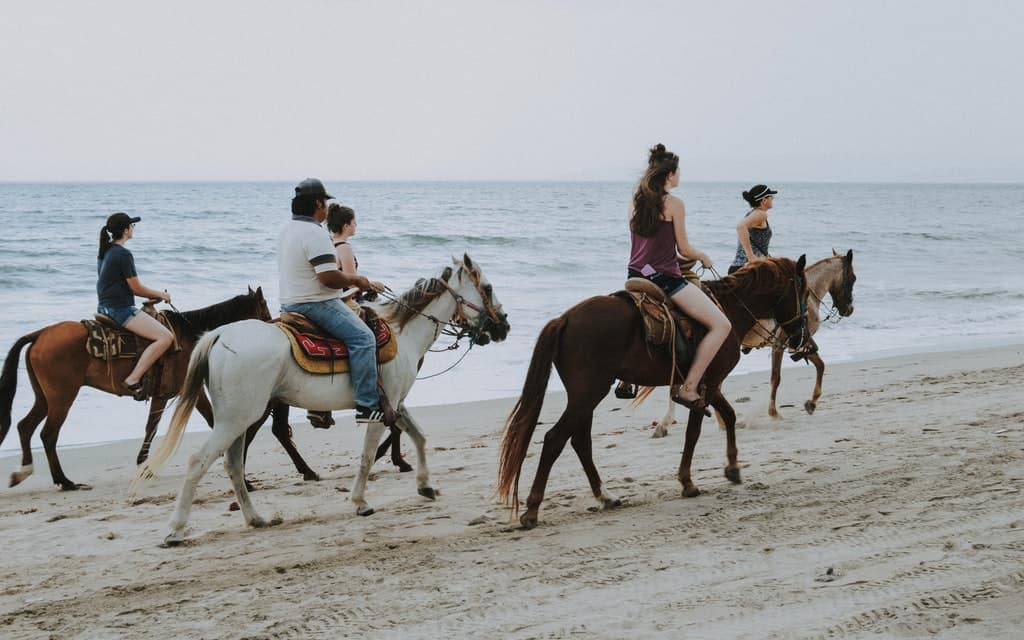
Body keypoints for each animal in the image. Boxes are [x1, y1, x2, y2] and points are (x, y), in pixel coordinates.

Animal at [0, 288, 327, 489]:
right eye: (264, 308)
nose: (276, 328)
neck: (192, 335)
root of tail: (41, 333)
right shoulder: (192, 392)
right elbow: (211, 421)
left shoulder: (161, 395)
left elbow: (150, 427)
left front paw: (143, 464)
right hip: (62, 397)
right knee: (47, 434)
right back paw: (64, 480)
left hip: (45, 397)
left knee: (26, 426)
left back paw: (24, 471)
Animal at [132, 254, 507, 544]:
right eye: (487, 288)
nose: (504, 326)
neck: (402, 333)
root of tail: (220, 334)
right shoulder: (379, 409)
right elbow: (367, 457)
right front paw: (360, 502)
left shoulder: (395, 404)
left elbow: (419, 436)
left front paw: (425, 486)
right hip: (238, 418)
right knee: (200, 461)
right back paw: (175, 530)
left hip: (238, 418)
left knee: (233, 464)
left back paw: (255, 518)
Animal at [497, 254, 806, 528]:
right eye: (803, 291)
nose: (800, 336)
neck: (729, 309)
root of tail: (565, 319)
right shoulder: (708, 383)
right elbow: (696, 431)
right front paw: (689, 482)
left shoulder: (707, 384)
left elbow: (727, 416)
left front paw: (731, 468)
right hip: (588, 395)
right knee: (555, 440)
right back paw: (533, 510)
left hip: (584, 397)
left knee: (580, 442)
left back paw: (605, 496)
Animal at [651, 246, 860, 436]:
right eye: (853, 278)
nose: (849, 309)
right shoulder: (783, 345)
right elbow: (779, 377)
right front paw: (778, 411)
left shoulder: (798, 344)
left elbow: (818, 365)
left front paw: (810, 403)